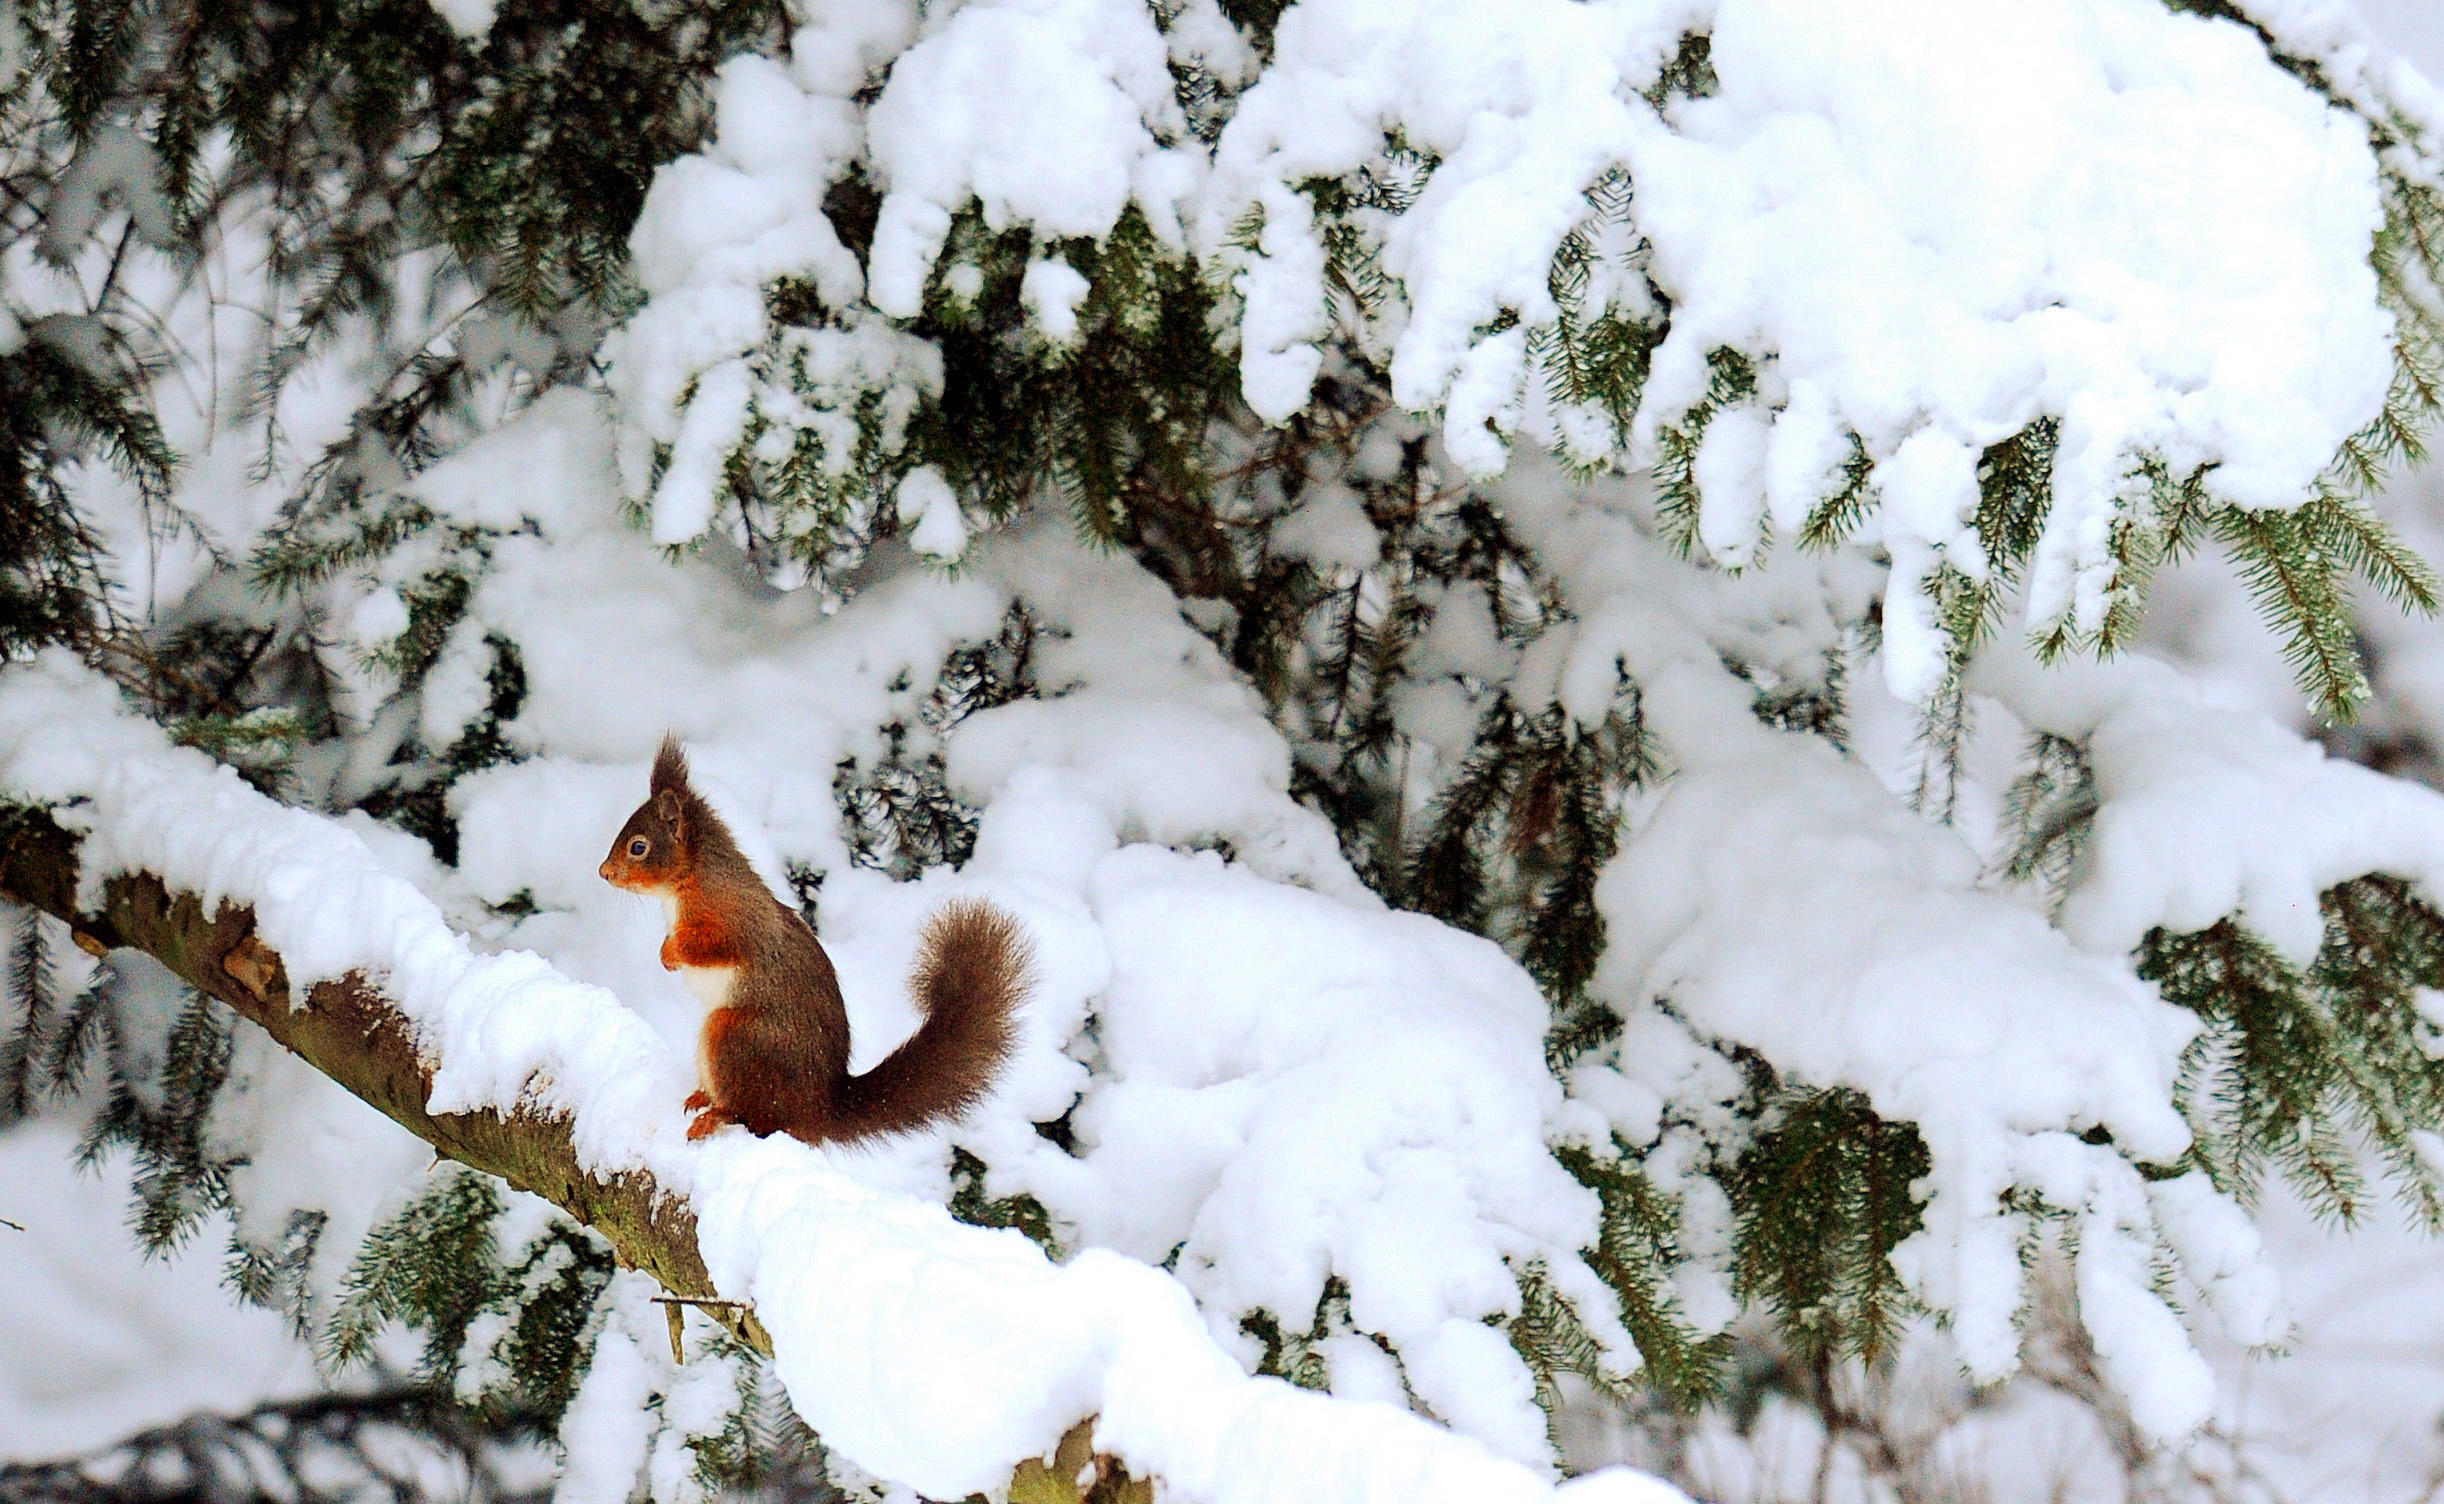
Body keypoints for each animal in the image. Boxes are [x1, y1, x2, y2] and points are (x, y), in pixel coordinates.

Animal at [606, 738, 1036, 1139]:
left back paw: (717, 1114)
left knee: (753, 1115)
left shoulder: (733, 919)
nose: (603, 872)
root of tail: (816, 1109)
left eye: (638, 847)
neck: (687, 881)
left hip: (736, 1038)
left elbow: (715, 945)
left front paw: (671, 952)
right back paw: (702, 1097)